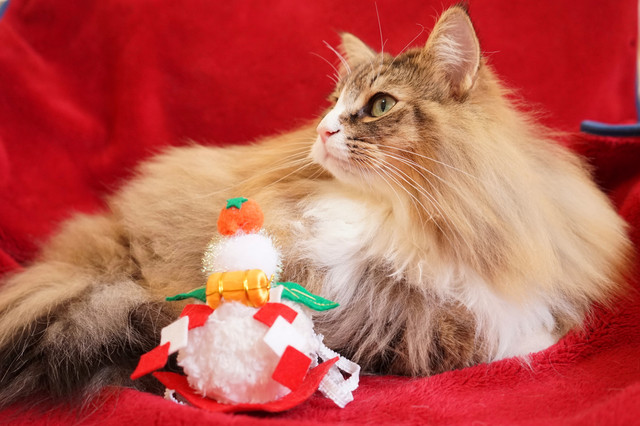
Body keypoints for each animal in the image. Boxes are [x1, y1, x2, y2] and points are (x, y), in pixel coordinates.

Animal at [0, 5, 633, 408]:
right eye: (331, 102)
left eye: (380, 105)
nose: (325, 129)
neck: (416, 221)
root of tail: (108, 241)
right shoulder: (395, 322)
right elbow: (496, 335)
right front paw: (539, 339)